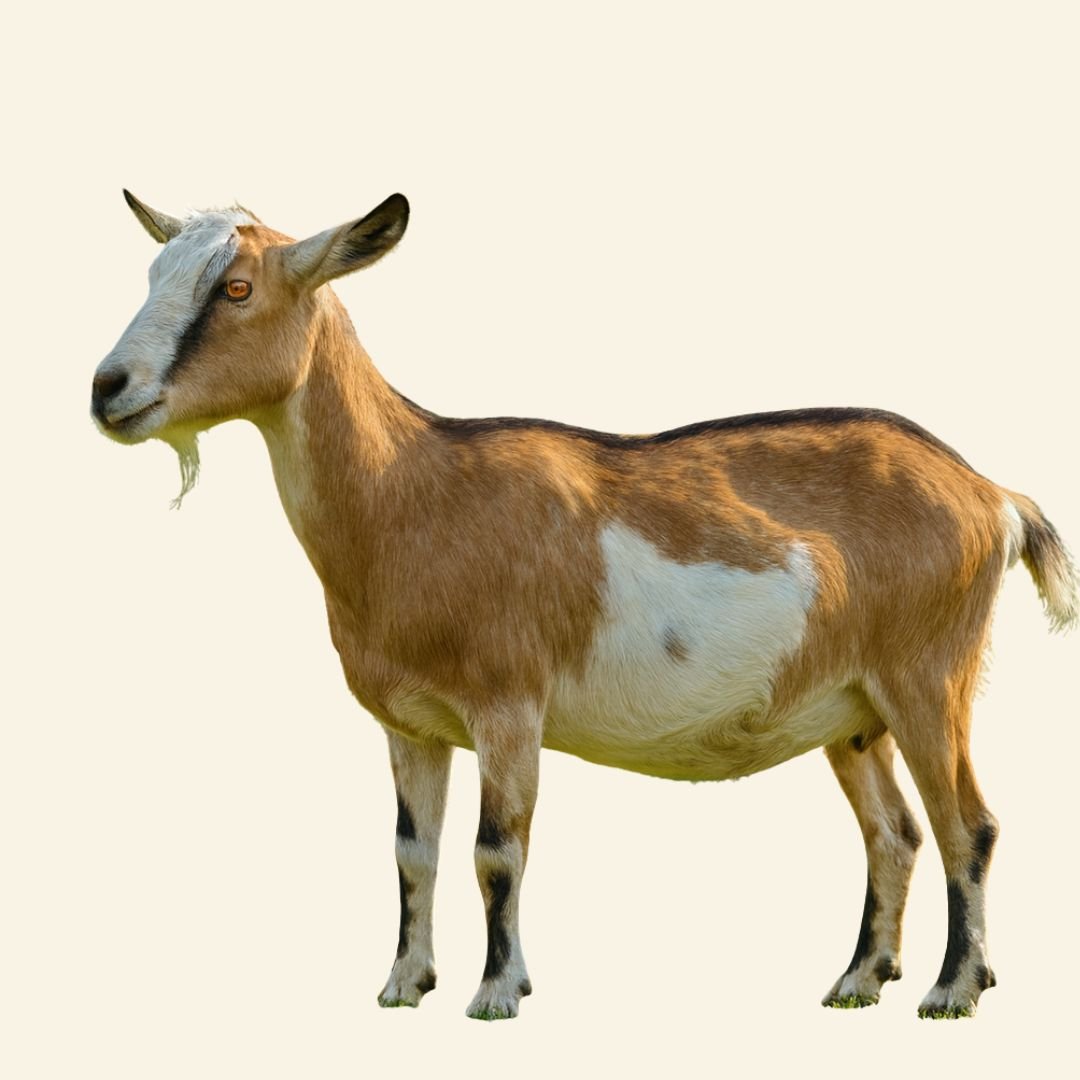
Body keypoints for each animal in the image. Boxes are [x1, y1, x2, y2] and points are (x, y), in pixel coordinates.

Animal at [92, 191, 1077, 1020]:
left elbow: (497, 848)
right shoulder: (409, 724)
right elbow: (413, 852)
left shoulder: (508, 702)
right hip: (854, 710)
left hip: (929, 674)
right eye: (151, 276)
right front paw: (404, 985)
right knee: (894, 834)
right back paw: (859, 980)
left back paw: (953, 990)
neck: (412, 494)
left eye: (237, 286)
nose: (108, 389)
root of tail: (991, 495)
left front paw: (497, 994)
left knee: (967, 826)